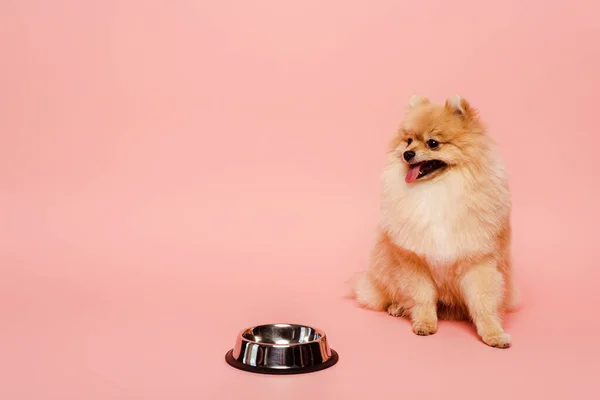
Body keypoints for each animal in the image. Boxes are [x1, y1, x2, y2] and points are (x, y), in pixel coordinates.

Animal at [354, 95, 516, 348]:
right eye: (408, 140)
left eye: (433, 143)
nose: (407, 153)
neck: (437, 189)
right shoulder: (413, 260)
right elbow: (422, 297)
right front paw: (424, 323)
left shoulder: (479, 260)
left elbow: (484, 302)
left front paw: (494, 334)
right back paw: (397, 307)